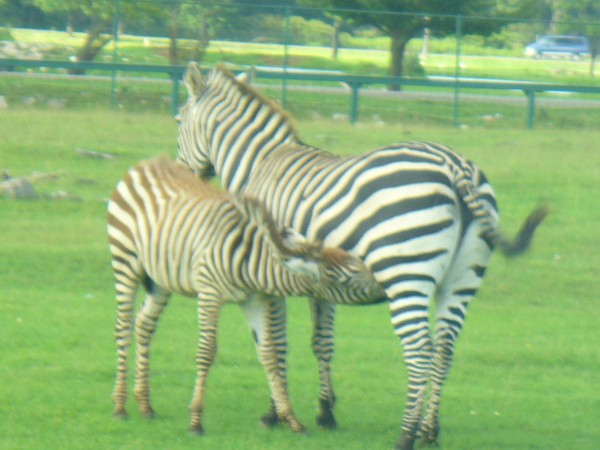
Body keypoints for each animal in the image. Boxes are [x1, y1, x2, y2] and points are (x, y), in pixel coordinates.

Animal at [106, 156, 384, 434]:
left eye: (361, 264)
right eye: (346, 278)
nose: (384, 288)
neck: (250, 261)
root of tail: (146, 163)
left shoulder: (254, 299)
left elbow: (269, 353)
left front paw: (290, 418)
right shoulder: (209, 293)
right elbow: (207, 350)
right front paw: (195, 420)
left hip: (160, 278)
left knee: (144, 324)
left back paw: (145, 405)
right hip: (125, 262)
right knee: (123, 328)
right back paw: (119, 406)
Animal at [175, 63, 548, 450]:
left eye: (177, 120)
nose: (182, 174)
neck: (258, 165)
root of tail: (455, 165)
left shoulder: (268, 276)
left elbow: (274, 344)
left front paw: (274, 413)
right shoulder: (320, 284)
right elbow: (322, 343)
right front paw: (325, 411)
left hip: (405, 273)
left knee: (420, 351)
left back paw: (406, 434)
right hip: (463, 278)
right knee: (444, 349)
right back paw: (430, 432)